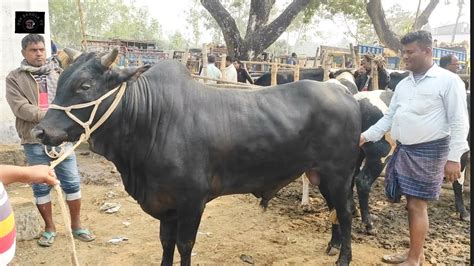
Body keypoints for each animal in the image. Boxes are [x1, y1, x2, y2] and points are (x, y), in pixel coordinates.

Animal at [36, 51, 362, 264]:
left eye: (85, 86)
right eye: (60, 81)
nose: (41, 131)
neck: (151, 119)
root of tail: (345, 93)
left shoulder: (192, 201)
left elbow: (184, 244)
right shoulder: (166, 204)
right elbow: (166, 243)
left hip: (339, 174)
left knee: (346, 213)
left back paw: (343, 258)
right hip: (321, 176)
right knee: (335, 211)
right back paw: (332, 247)